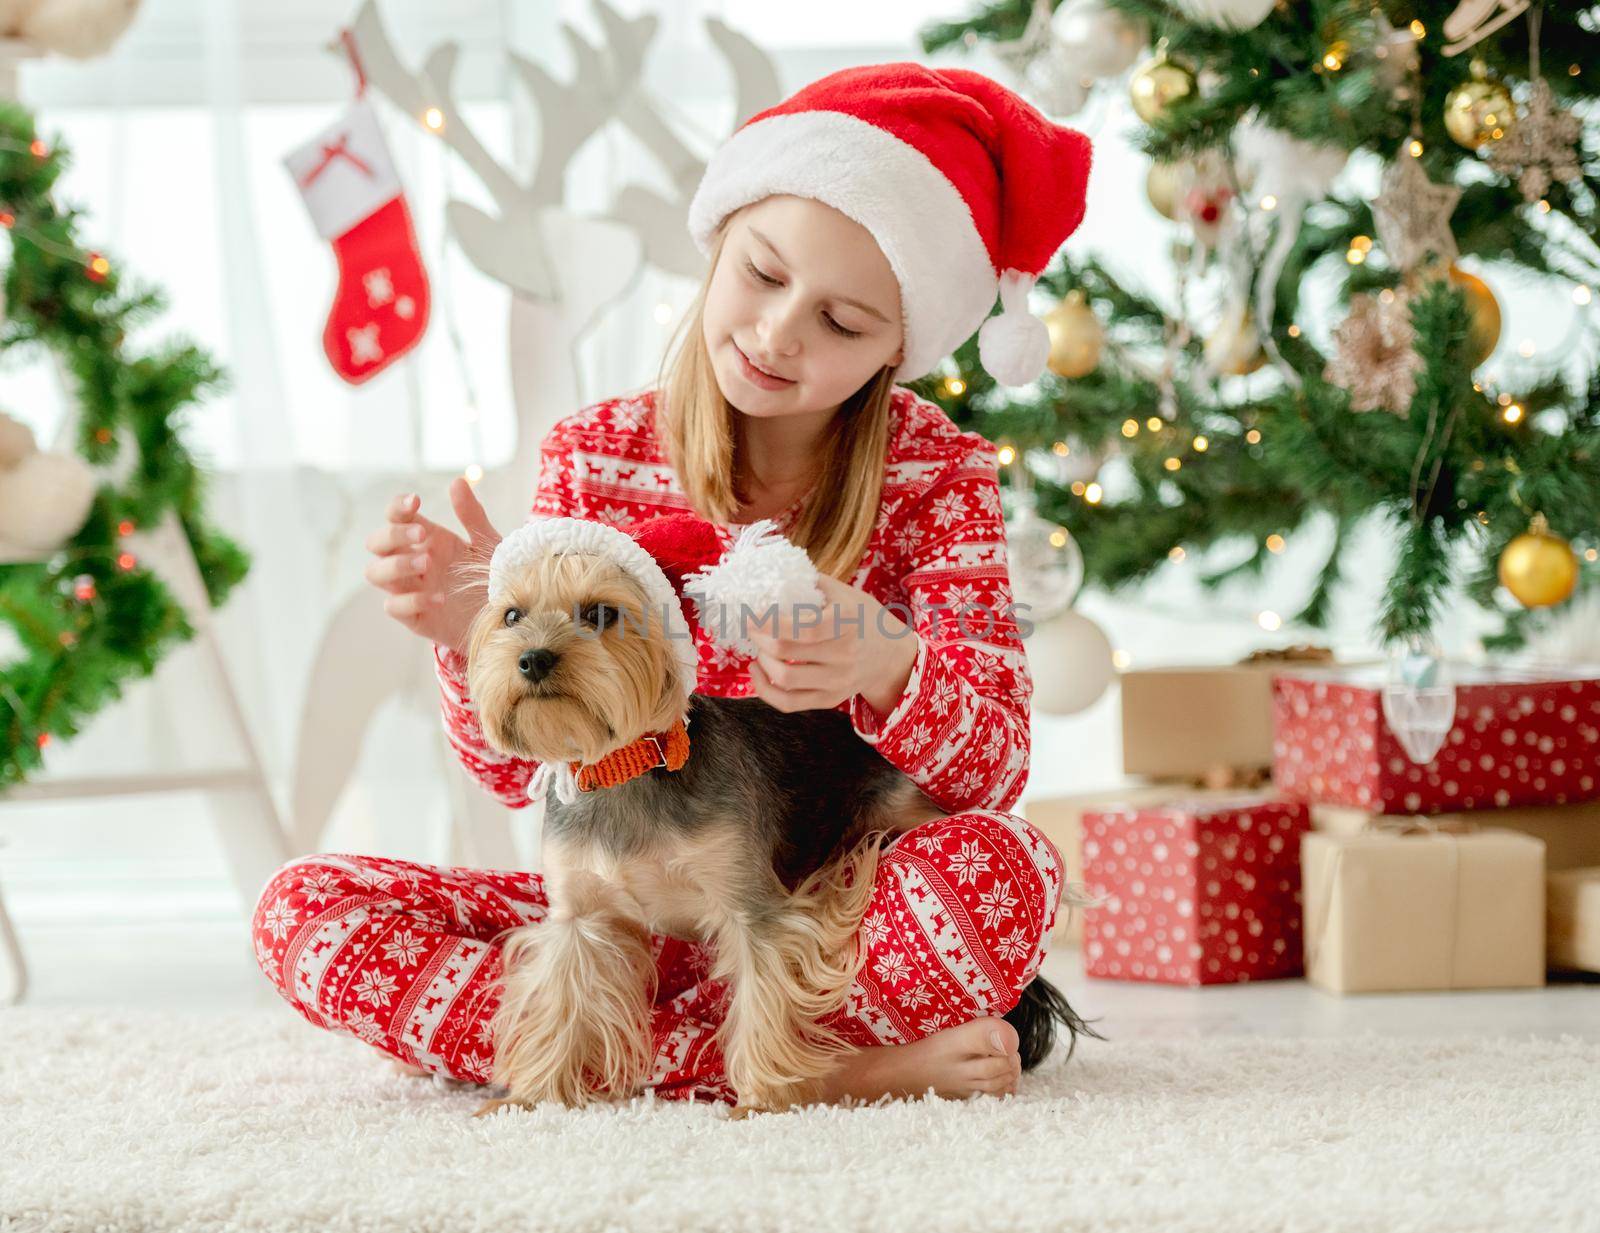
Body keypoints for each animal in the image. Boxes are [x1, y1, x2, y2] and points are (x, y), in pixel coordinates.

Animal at [460, 514, 1088, 1119]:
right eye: (512, 615)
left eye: (600, 613)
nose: (533, 659)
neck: (625, 767)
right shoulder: (578, 920)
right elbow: (559, 1005)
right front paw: (530, 1097)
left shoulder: (750, 906)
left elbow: (762, 992)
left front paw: (760, 1101)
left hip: (901, 814)